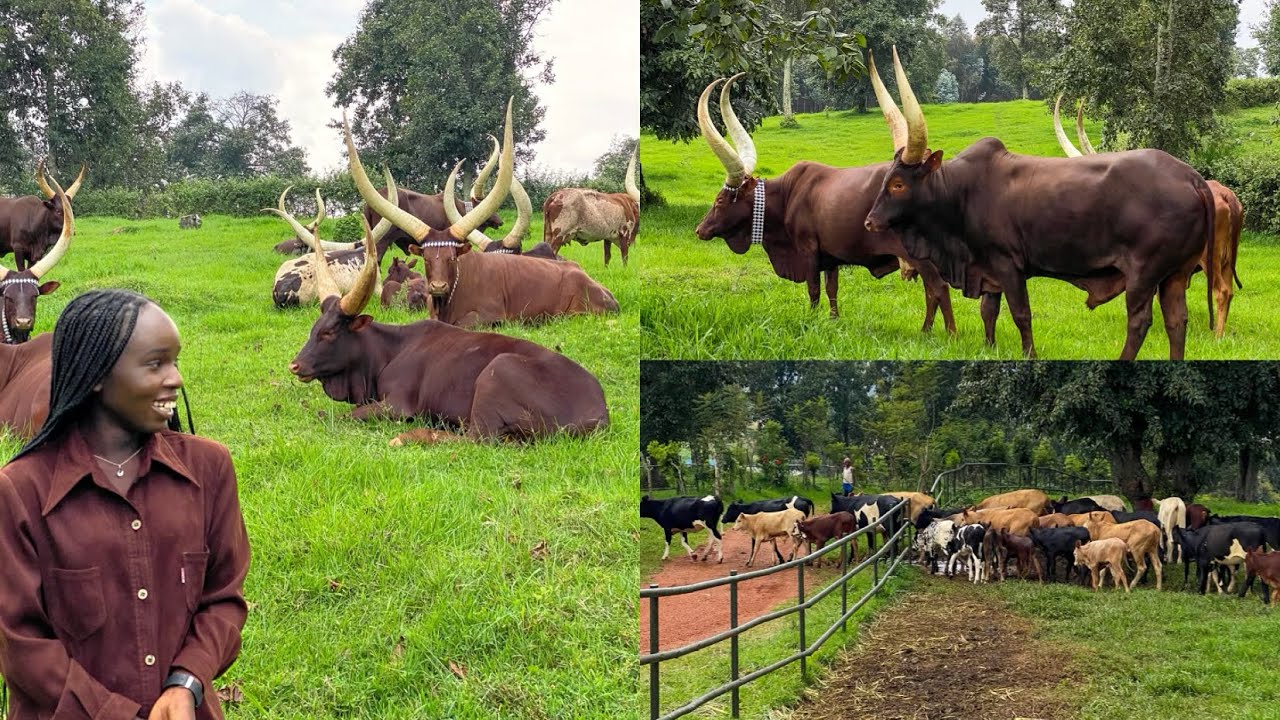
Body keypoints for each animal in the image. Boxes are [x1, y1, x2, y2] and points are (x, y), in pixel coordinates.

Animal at [286, 161, 610, 445]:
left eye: (329, 333)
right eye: (314, 329)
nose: (295, 365)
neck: (388, 350)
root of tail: (599, 415)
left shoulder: (396, 406)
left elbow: (338, 415)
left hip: (497, 375)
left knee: (478, 439)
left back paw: (409, 437)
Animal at [694, 73, 957, 332]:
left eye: (720, 200)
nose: (699, 230)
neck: (788, 195)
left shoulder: (808, 250)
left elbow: (814, 290)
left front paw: (811, 320)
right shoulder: (830, 255)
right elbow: (832, 289)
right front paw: (833, 320)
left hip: (921, 257)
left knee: (939, 288)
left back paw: (948, 334)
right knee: (931, 292)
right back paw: (925, 331)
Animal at [864, 47, 1214, 359]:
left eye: (898, 184)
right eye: (886, 178)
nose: (869, 222)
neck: (960, 194)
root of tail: (1191, 178)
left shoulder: (1008, 264)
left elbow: (1021, 314)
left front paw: (1029, 354)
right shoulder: (987, 269)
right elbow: (988, 310)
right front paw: (989, 348)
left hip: (1144, 274)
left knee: (1140, 322)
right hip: (1175, 275)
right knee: (1176, 321)